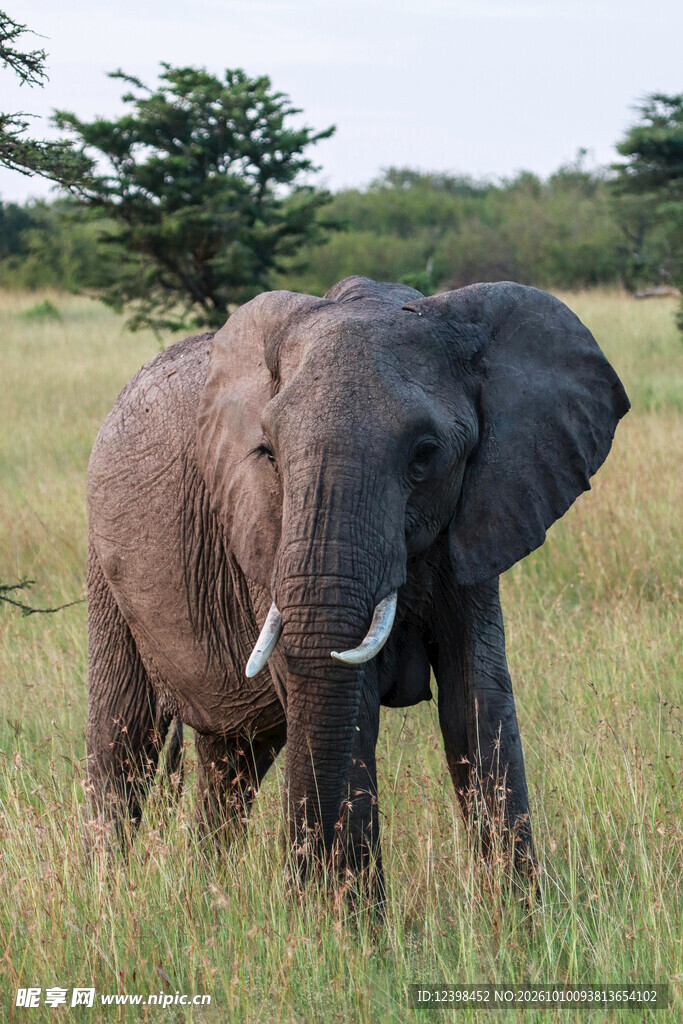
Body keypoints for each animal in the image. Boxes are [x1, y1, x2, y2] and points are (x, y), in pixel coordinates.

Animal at [86, 276, 629, 904]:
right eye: (268, 452)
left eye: (425, 455)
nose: (302, 889)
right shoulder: (265, 531)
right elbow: (348, 706)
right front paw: (348, 926)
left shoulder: (480, 513)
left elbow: (478, 700)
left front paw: (519, 920)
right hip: (104, 566)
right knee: (123, 743)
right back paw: (104, 893)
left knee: (233, 759)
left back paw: (208, 891)